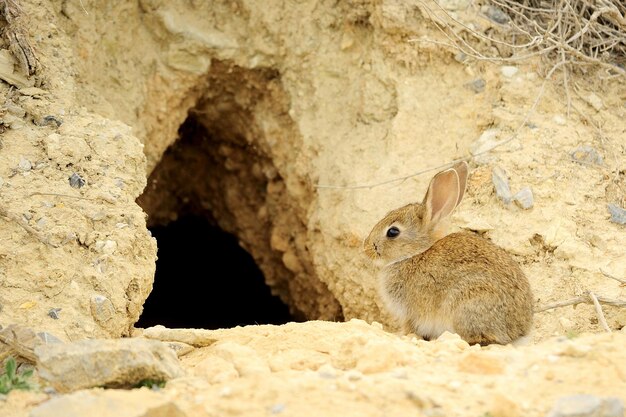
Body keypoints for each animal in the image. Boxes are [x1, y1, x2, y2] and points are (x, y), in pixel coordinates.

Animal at [360, 162, 532, 344]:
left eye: (392, 232)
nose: (366, 247)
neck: (414, 254)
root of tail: (518, 330)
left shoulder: (410, 312)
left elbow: (410, 327)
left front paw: (403, 335)